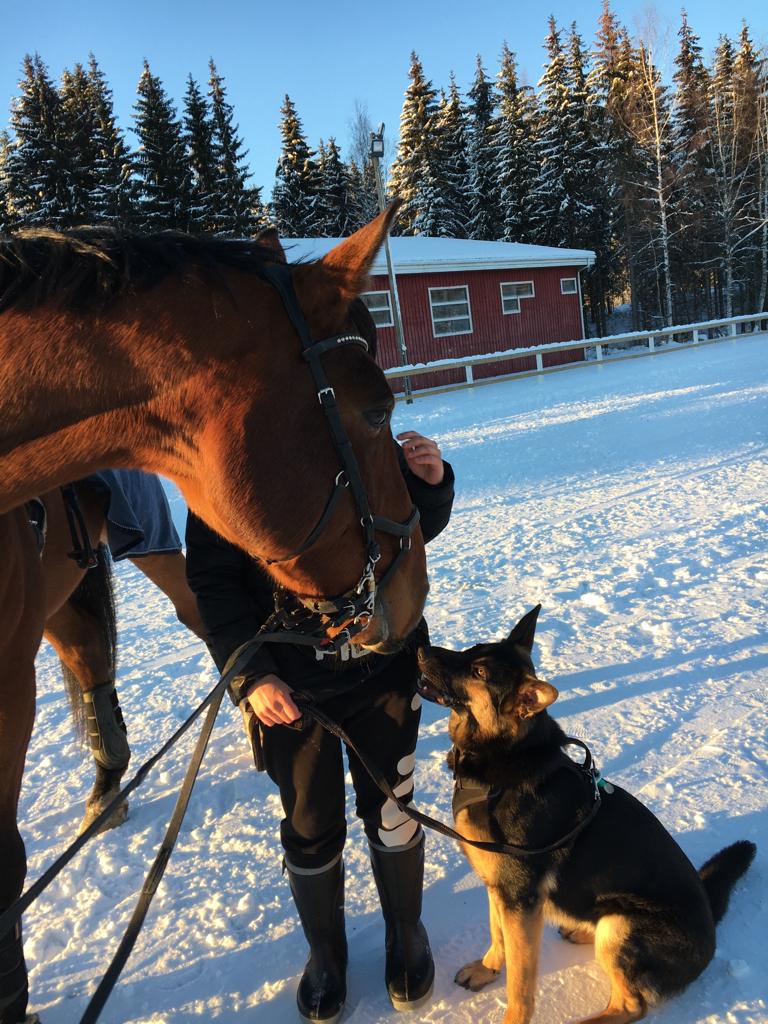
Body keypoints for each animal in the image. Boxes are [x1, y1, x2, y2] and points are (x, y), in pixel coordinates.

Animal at [417, 602, 753, 1024]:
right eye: (472, 649)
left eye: (478, 673)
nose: (419, 649)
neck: (506, 756)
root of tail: (711, 926)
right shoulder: (501, 889)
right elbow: (497, 935)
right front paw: (488, 968)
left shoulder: (520, 901)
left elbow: (520, 983)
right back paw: (579, 928)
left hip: (621, 925)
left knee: (631, 1005)